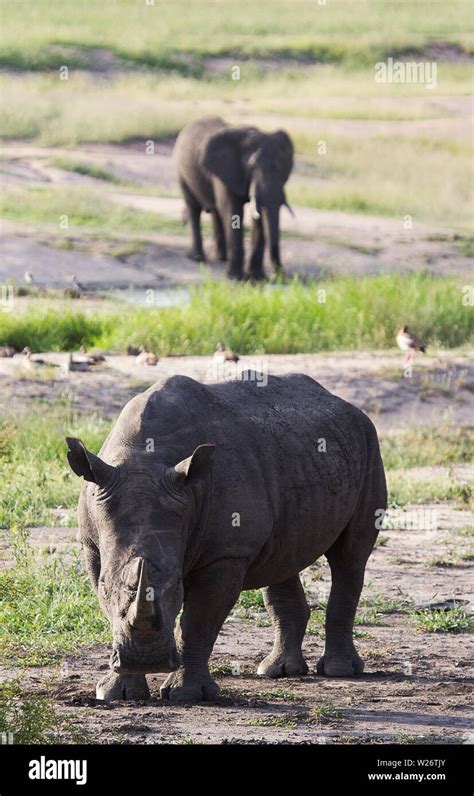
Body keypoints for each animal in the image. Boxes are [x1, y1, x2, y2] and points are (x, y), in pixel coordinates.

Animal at [65, 374, 386, 704]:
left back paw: (339, 670)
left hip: (369, 442)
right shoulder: (92, 543)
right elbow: (112, 611)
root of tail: (345, 404)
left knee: (349, 556)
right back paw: (278, 671)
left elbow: (198, 621)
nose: (146, 660)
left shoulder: (226, 552)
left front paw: (187, 695)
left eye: (177, 587)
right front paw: (117, 693)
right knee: (283, 560)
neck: (144, 459)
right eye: (105, 588)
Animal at [172, 116, 294, 280]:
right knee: (194, 208)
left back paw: (221, 258)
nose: (280, 275)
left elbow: (258, 216)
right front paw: (235, 278)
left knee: (216, 211)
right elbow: (233, 211)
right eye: (252, 165)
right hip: (182, 173)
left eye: (283, 168)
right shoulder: (224, 172)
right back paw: (197, 258)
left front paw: (257, 278)